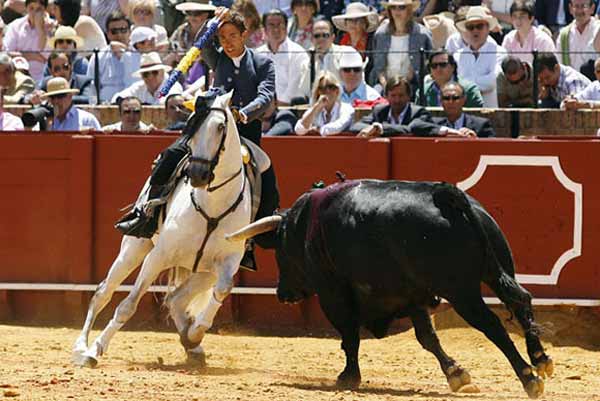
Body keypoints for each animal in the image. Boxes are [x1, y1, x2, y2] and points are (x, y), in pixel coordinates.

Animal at [71, 90, 252, 366]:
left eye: (221, 126)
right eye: (191, 126)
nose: (197, 174)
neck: (212, 203)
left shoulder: (229, 261)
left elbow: (223, 289)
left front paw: (195, 333)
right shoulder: (158, 255)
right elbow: (128, 305)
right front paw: (94, 350)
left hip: (206, 270)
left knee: (176, 298)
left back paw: (192, 343)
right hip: (134, 249)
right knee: (103, 292)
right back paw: (81, 348)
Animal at [227, 180, 556, 398]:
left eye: (280, 251)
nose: (282, 294)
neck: (304, 224)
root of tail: (446, 196)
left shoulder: (333, 294)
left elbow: (349, 335)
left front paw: (348, 377)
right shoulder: (412, 295)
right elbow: (427, 337)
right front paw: (456, 374)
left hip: (461, 292)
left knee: (492, 325)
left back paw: (529, 378)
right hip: (497, 270)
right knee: (521, 302)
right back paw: (541, 360)